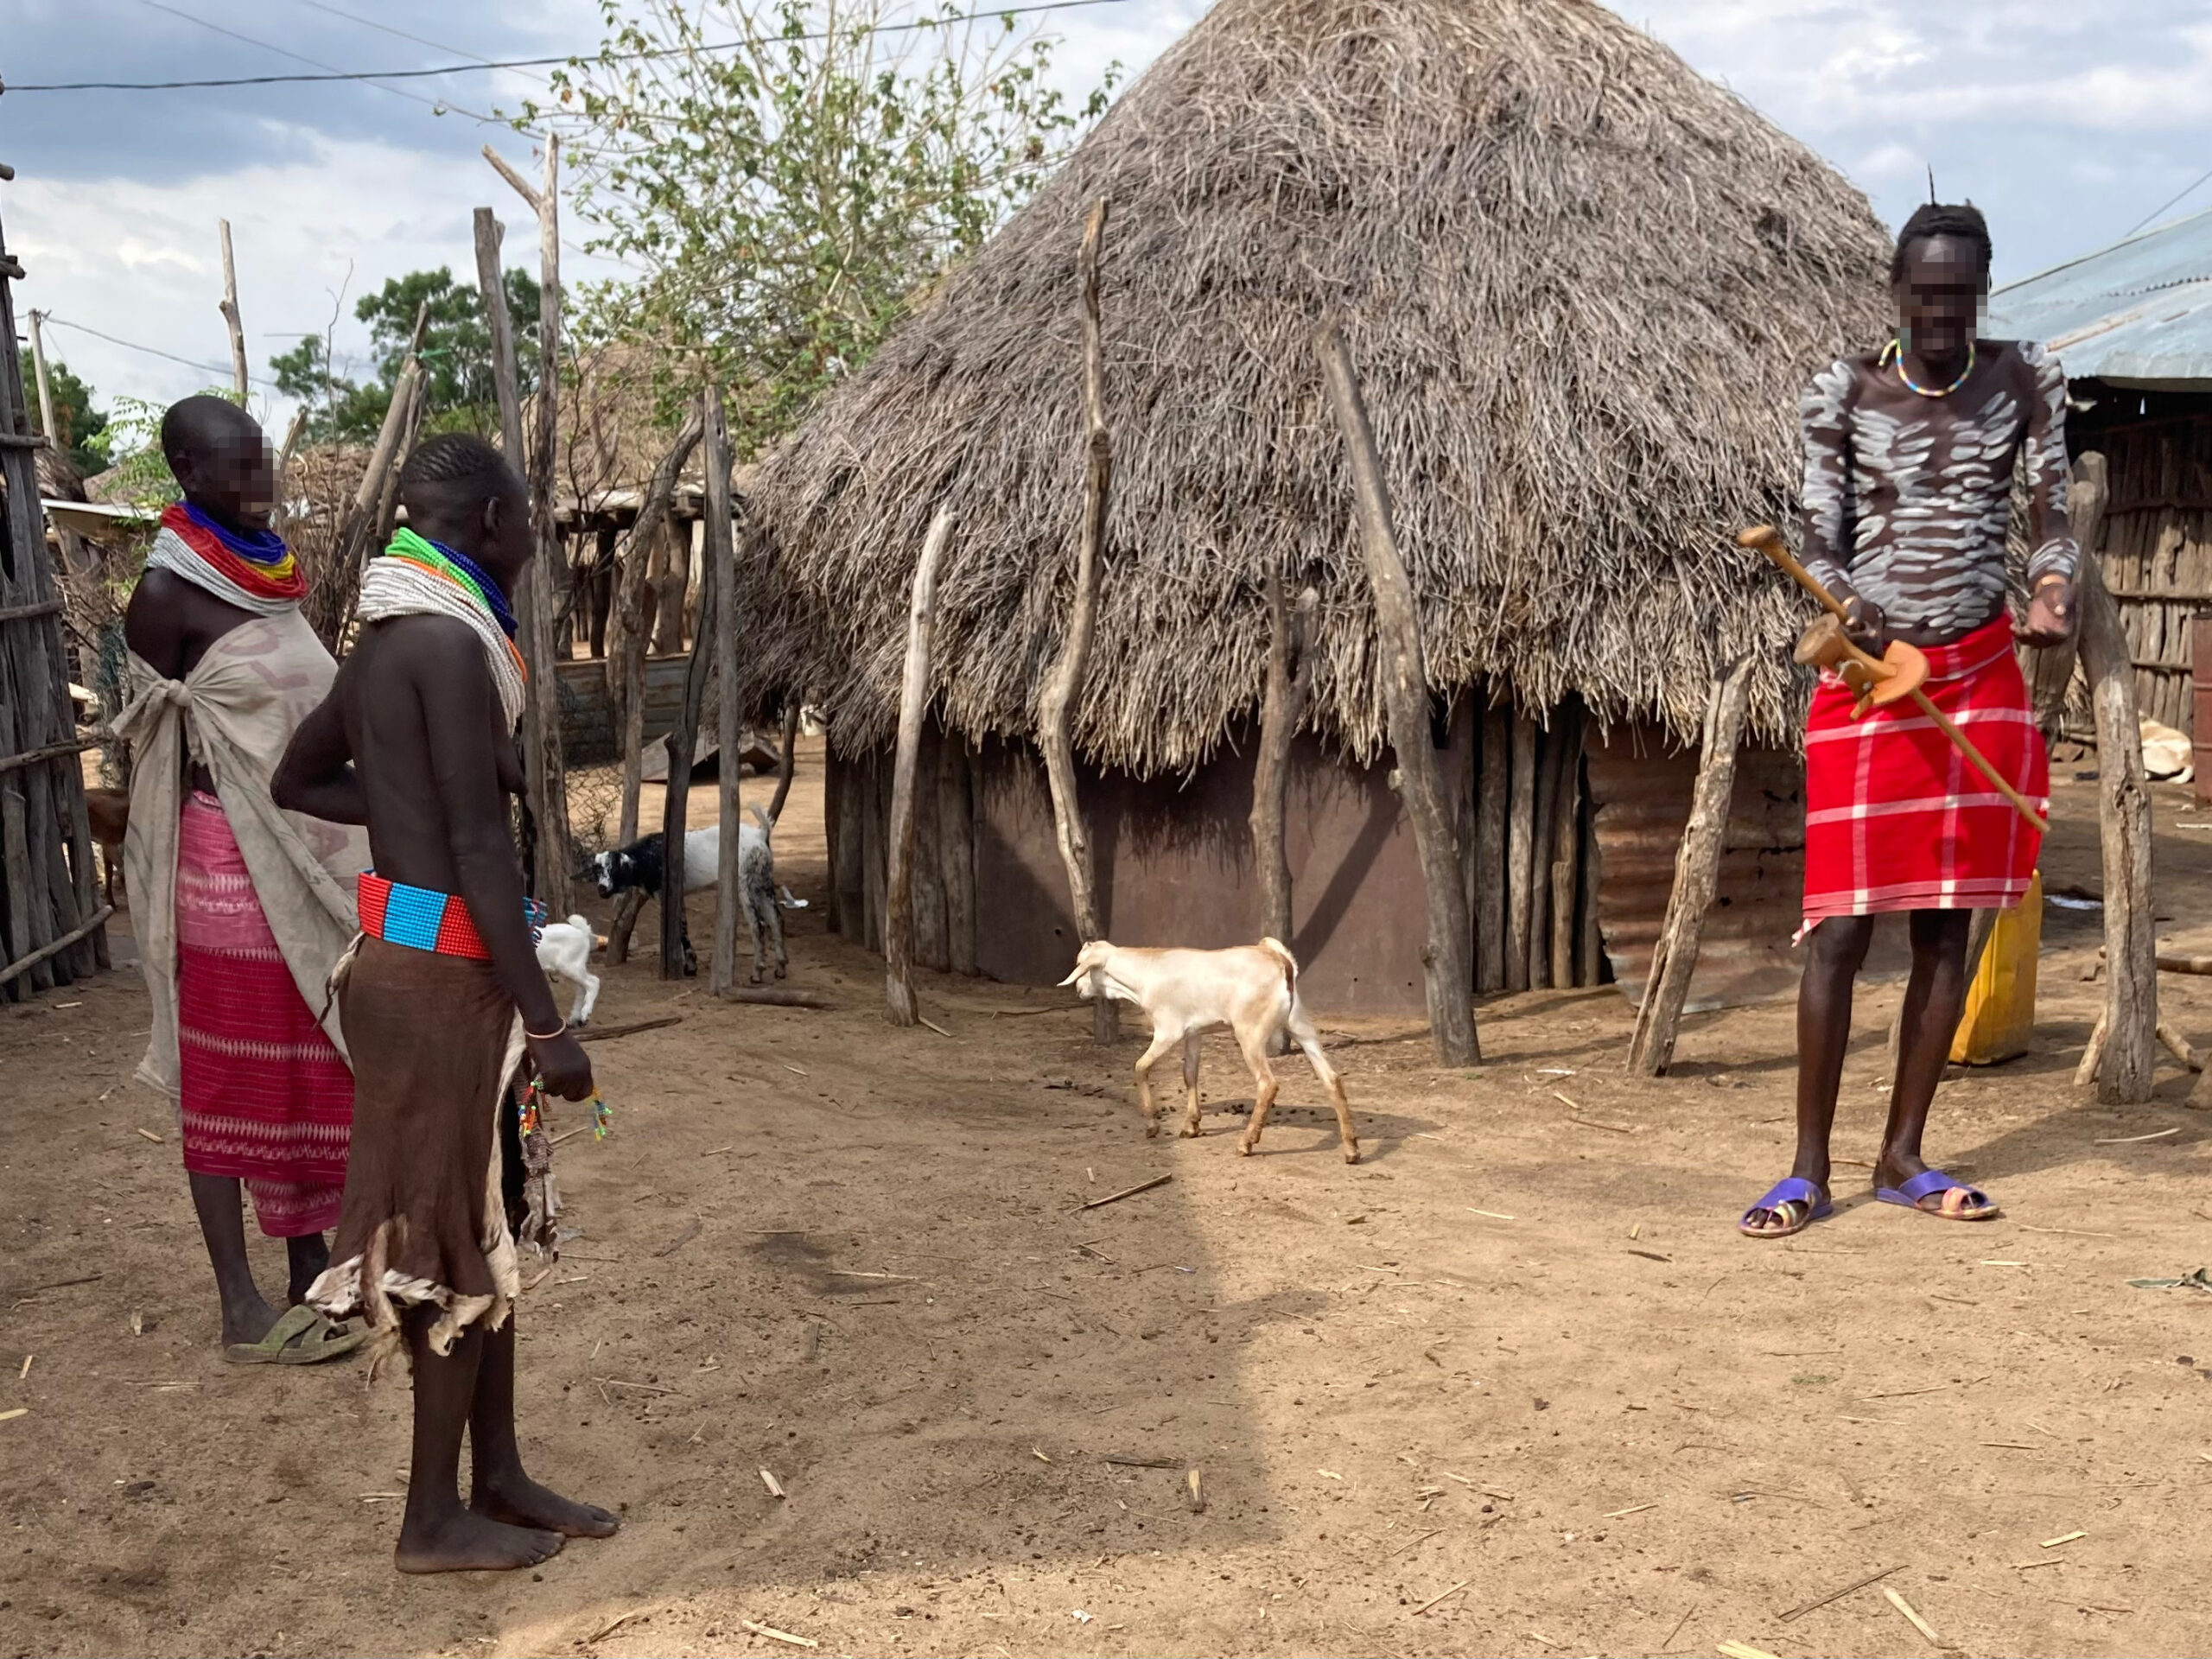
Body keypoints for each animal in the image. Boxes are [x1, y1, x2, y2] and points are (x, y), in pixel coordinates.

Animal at [534, 914, 602, 1027]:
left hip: (570, 966)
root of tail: (583, 932)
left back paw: (585, 1013)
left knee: (593, 982)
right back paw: (575, 1018)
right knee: (582, 988)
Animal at [587, 807, 785, 982]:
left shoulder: (665, 894)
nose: (602, 888)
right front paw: (690, 965)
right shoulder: (678, 895)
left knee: (758, 924)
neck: (648, 856)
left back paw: (757, 973)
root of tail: (760, 835)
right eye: (598, 871)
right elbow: (683, 927)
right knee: (776, 919)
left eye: (614, 869)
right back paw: (781, 968)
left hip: (745, 884)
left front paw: (689, 967)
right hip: (763, 882)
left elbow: (678, 929)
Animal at [1060, 937, 1357, 1164]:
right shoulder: (1194, 1033)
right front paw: (1191, 1125)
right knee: (1332, 1079)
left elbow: (1141, 1067)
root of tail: (1280, 960)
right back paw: (1352, 1150)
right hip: (1300, 1026)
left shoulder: (1168, 1030)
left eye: (1080, 966)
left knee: (1268, 1084)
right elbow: (1189, 1073)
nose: (1078, 990)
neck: (1146, 974)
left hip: (1250, 1033)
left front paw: (1153, 1126)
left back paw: (1246, 1143)